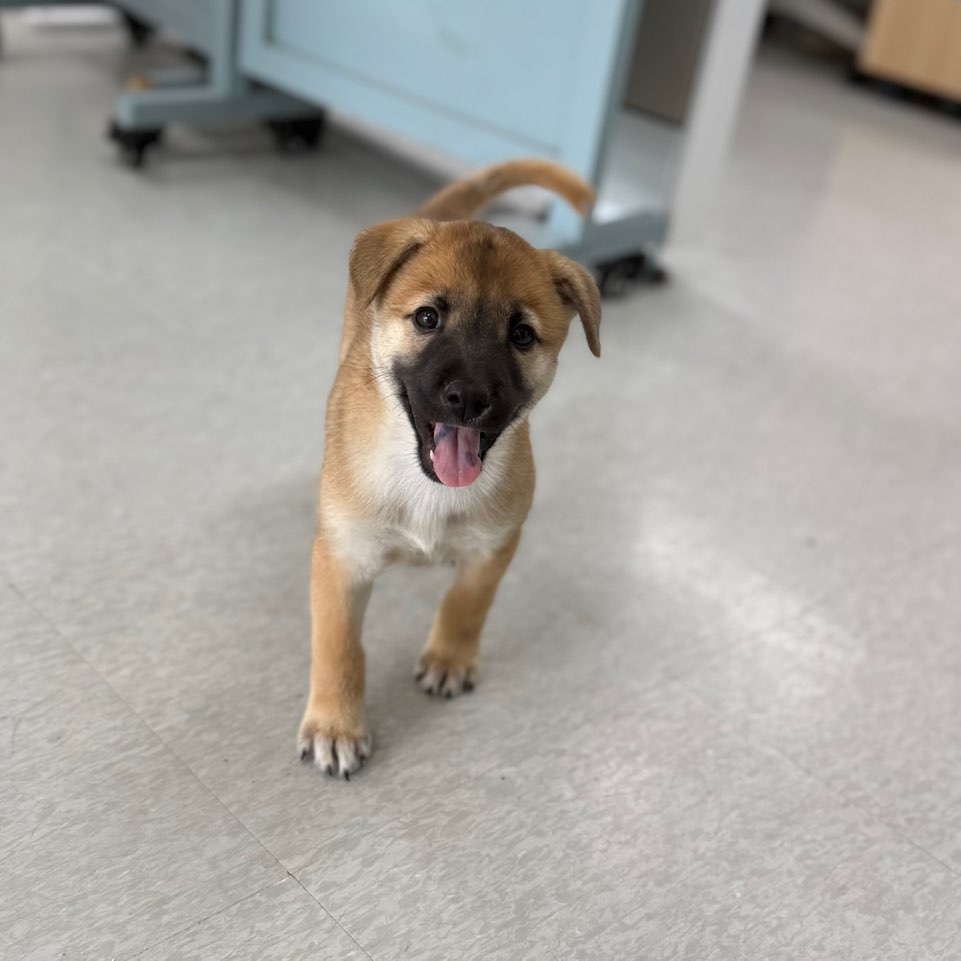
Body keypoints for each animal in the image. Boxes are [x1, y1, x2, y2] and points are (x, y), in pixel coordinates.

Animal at [298, 159, 602, 778]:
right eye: (428, 317)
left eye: (522, 335)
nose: (468, 397)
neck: (424, 488)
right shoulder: (341, 560)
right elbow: (339, 646)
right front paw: (336, 725)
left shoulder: (495, 547)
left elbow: (466, 604)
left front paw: (449, 658)